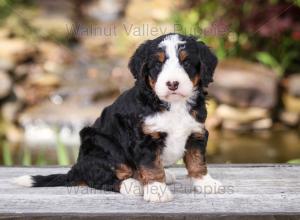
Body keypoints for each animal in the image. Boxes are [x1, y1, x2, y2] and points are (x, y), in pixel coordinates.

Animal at [15, 33, 223, 203]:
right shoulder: (144, 140)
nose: (172, 83)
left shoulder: (196, 132)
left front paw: (206, 183)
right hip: (103, 146)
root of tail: (77, 167)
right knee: (100, 178)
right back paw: (132, 185)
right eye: (158, 64)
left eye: (186, 63)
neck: (173, 105)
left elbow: (197, 161)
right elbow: (151, 167)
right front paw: (157, 190)